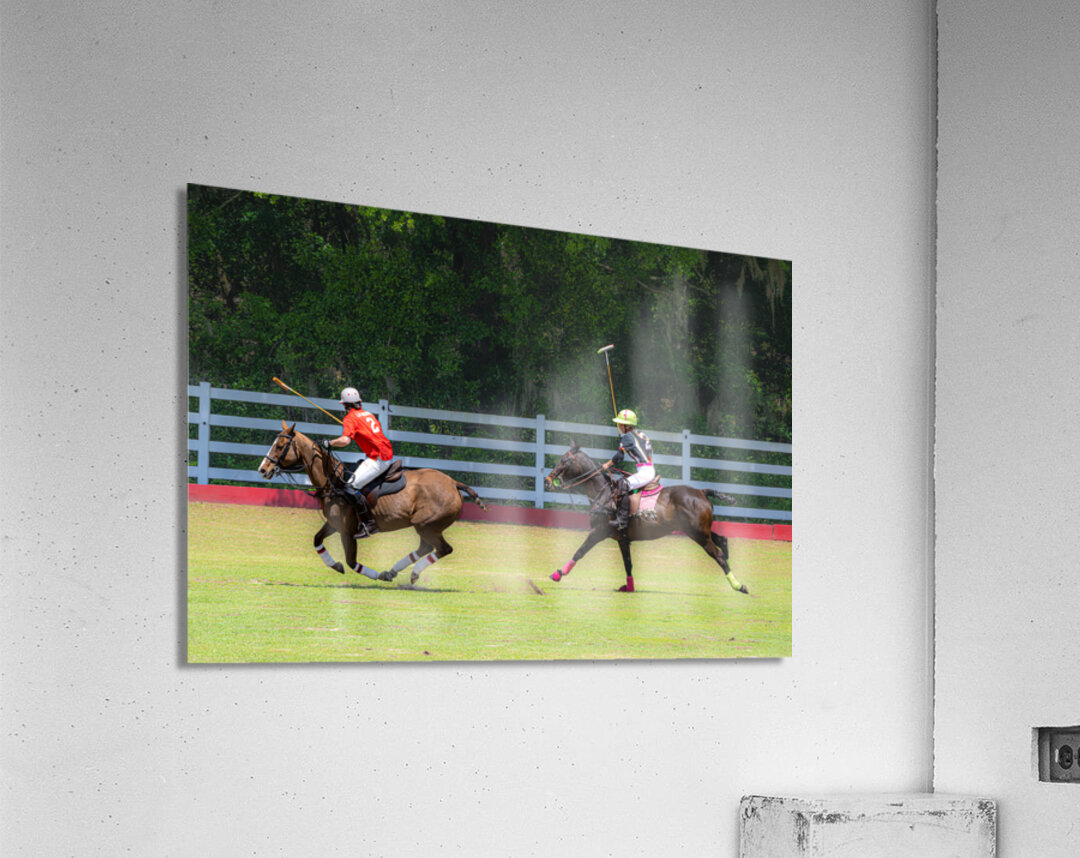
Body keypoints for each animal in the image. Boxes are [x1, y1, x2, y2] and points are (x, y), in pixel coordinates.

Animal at [258, 421, 487, 584]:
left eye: (280, 446)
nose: (263, 469)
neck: (334, 481)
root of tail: (454, 483)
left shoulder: (347, 530)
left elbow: (351, 562)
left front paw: (377, 576)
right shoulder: (334, 523)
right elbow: (317, 541)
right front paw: (335, 565)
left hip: (426, 524)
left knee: (443, 549)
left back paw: (411, 573)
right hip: (427, 526)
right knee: (426, 548)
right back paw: (395, 571)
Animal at [544, 441, 749, 594]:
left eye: (564, 461)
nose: (547, 481)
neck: (604, 493)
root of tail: (702, 491)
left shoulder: (598, 531)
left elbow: (580, 551)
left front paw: (558, 574)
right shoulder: (623, 539)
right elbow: (628, 564)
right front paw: (629, 586)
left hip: (698, 534)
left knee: (718, 555)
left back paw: (738, 586)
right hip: (699, 530)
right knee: (722, 541)